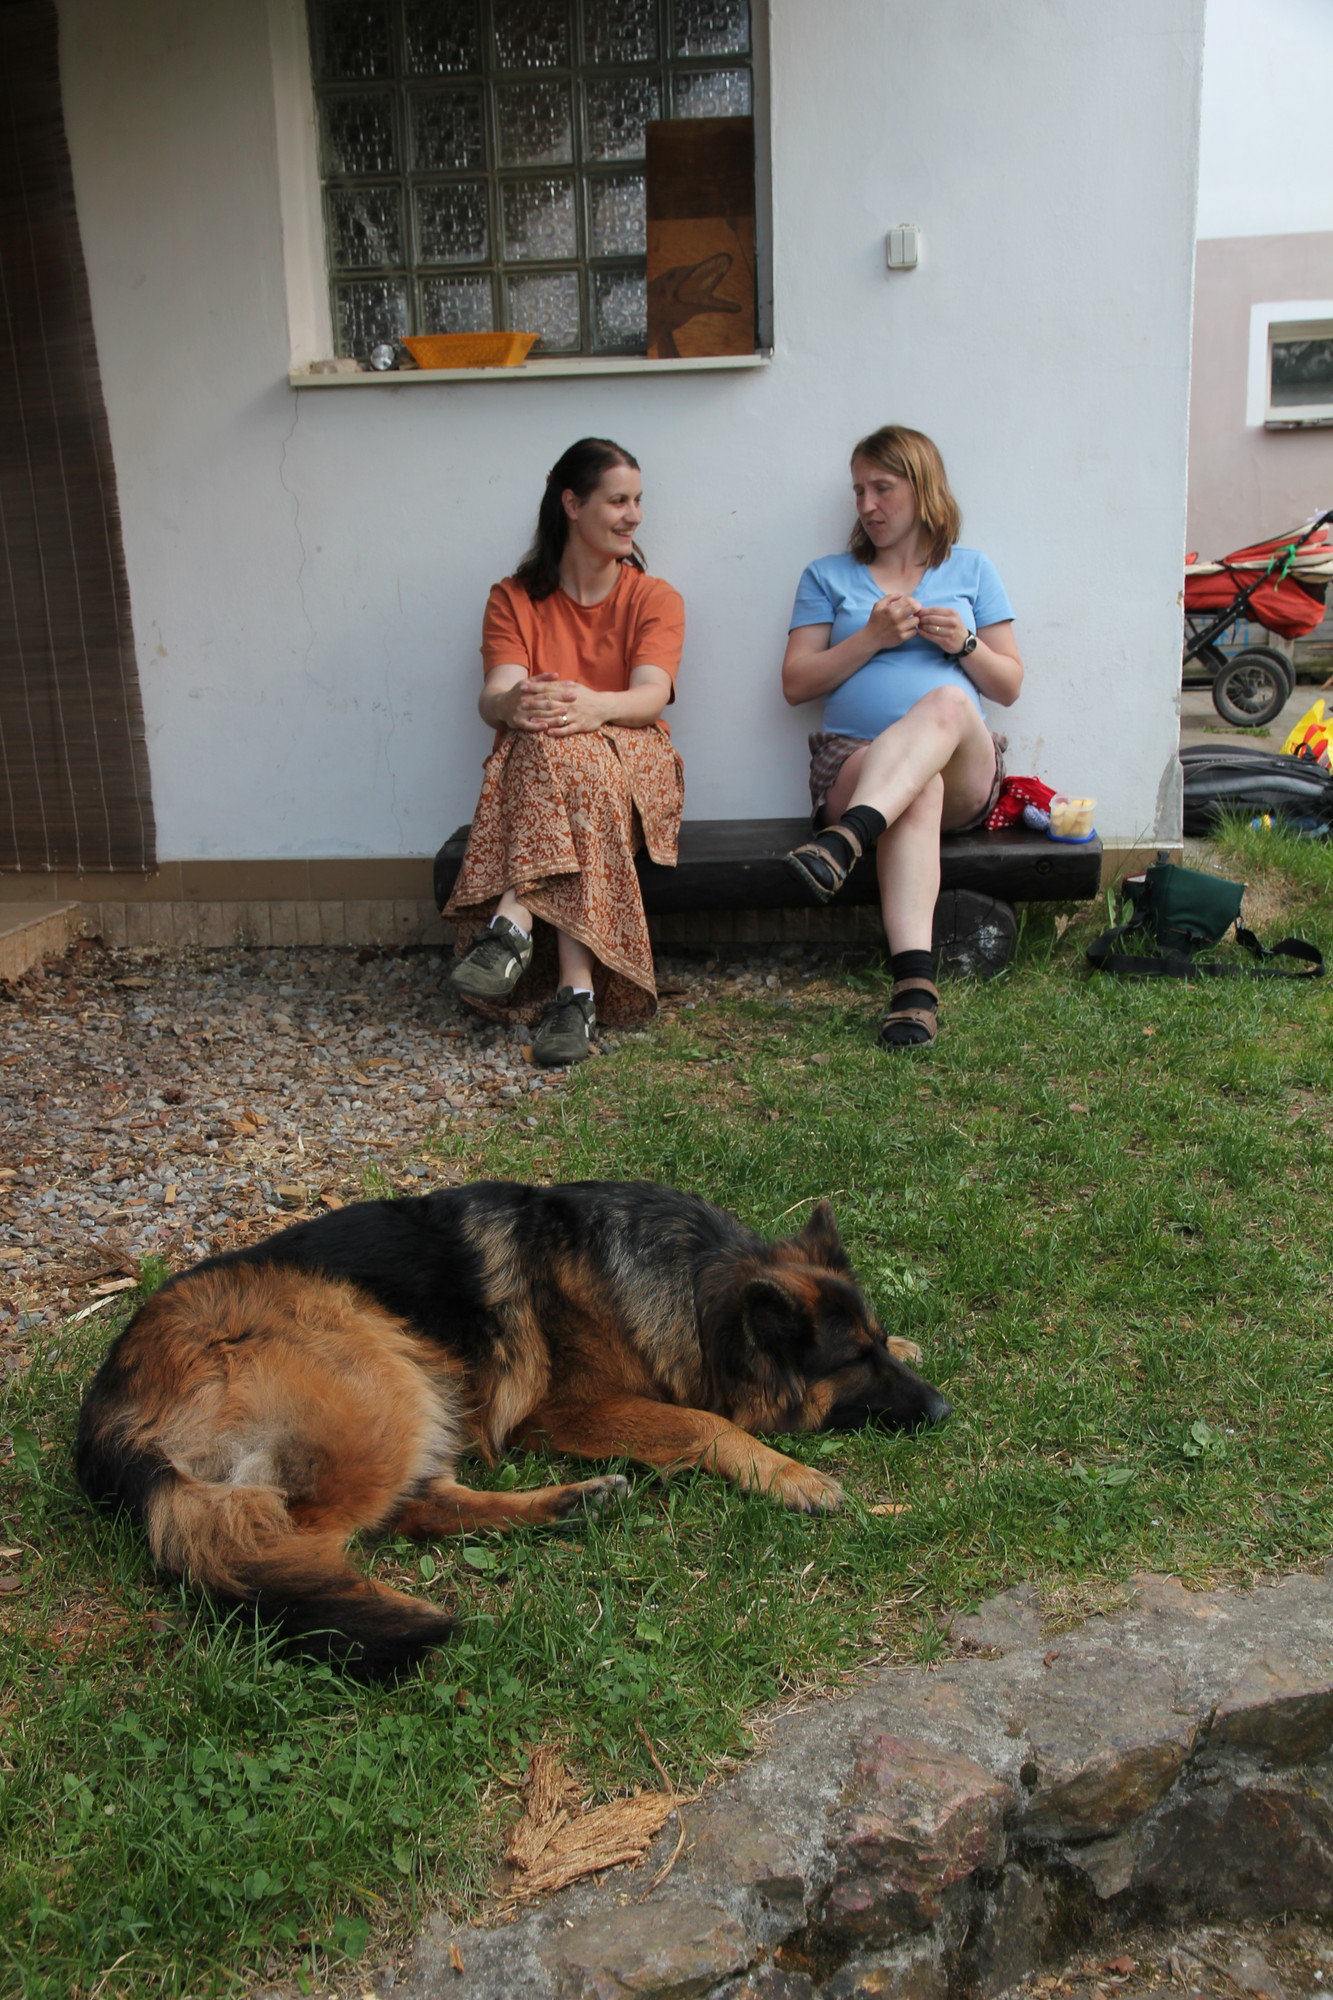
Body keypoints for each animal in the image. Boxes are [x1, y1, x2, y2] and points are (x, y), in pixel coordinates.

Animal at [76, 1180, 950, 1677]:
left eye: (873, 1344)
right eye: (851, 1362)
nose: (942, 1412)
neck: (696, 1281)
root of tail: (110, 1408)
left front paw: (918, 1341)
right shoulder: (568, 1410)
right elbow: (705, 1421)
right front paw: (788, 1473)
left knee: (422, 1507)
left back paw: (569, 1505)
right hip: (379, 1371)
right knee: (297, 1542)